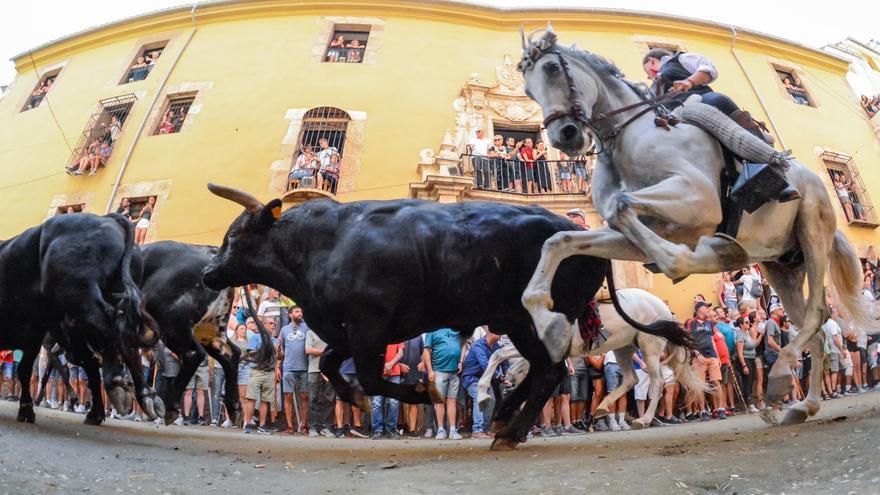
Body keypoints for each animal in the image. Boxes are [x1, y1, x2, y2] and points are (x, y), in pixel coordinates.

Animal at [478, 290, 704, 430]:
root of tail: (663, 308)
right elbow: (509, 362)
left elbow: (499, 355)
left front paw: (482, 395)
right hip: (624, 348)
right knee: (632, 379)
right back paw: (603, 406)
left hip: (649, 347)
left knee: (656, 383)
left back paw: (643, 419)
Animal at [516, 28, 872, 426]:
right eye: (528, 88)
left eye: (552, 69)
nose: (564, 135)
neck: (630, 140)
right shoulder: (638, 234)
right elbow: (561, 240)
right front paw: (548, 324)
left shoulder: (698, 200)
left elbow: (623, 208)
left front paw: (711, 253)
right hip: (781, 266)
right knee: (815, 331)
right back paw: (798, 402)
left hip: (813, 232)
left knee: (818, 313)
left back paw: (781, 379)